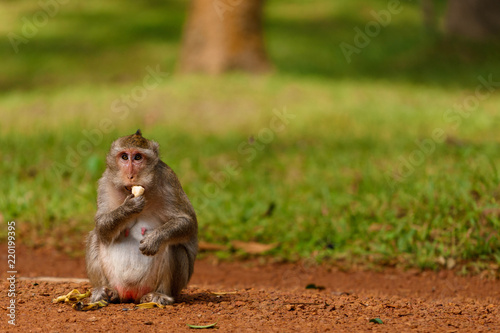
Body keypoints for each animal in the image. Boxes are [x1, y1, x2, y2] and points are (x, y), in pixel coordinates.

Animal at [86, 129, 197, 304]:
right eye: (124, 157)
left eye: (138, 157)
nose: (131, 175)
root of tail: (131, 295)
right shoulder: (105, 182)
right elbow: (102, 226)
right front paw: (128, 208)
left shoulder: (168, 180)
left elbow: (187, 222)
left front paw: (155, 239)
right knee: (95, 237)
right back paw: (106, 292)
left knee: (174, 246)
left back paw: (160, 295)